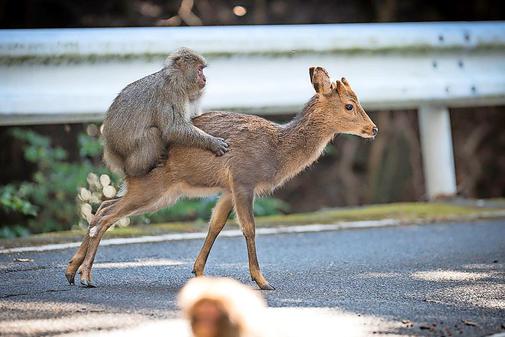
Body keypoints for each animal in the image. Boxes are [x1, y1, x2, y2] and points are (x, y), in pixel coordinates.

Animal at [65, 66, 376, 288]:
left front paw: (199, 272)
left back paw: (71, 271)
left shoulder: (227, 189)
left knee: (102, 208)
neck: (276, 151)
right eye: (350, 105)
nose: (373, 129)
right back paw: (86, 276)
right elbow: (248, 228)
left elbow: (215, 225)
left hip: (158, 192)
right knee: (106, 215)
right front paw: (262, 281)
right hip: (152, 187)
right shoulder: (243, 179)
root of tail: (124, 162)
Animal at [102, 48, 228, 177]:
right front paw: (212, 142)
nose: (204, 79)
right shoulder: (172, 95)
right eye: (199, 69)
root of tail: (111, 150)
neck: (175, 80)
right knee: (153, 133)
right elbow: (172, 129)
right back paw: (137, 170)